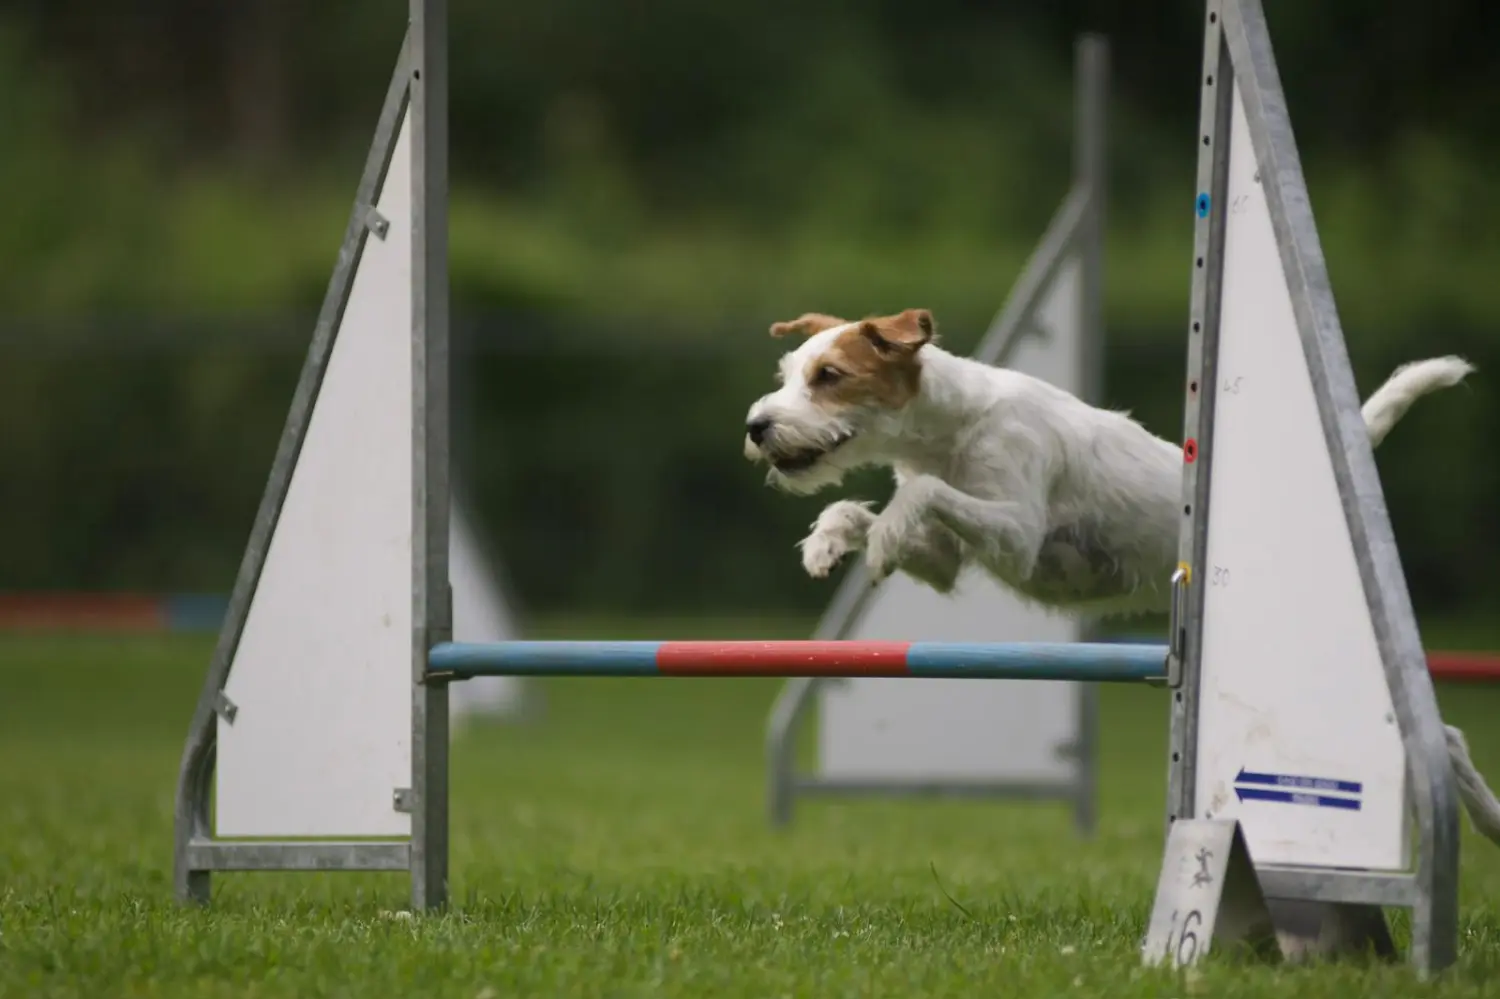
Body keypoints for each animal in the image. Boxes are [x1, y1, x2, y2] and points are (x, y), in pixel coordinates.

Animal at [744, 303, 1500, 840]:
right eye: (786, 374)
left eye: (830, 377)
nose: (756, 425)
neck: (950, 425)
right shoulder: (948, 560)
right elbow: (863, 507)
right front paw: (828, 543)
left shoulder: (1017, 532)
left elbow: (920, 495)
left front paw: (880, 536)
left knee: (1443, 736)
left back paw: (1487, 820)